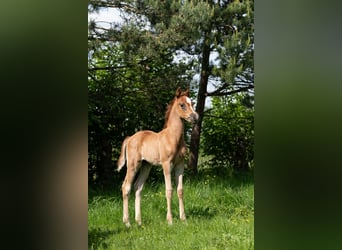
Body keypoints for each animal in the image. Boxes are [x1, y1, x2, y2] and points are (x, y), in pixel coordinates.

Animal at [117, 88, 199, 227]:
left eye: (192, 103)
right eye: (182, 105)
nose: (195, 117)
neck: (173, 138)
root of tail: (130, 138)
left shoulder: (180, 164)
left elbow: (180, 190)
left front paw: (183, 219)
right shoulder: (166, 164)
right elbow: (169, 190)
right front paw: (170, 220)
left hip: (146, 165)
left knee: (138, 187)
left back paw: (139, 221)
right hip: (133, 165)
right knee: (126, 187)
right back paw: (127, 222)